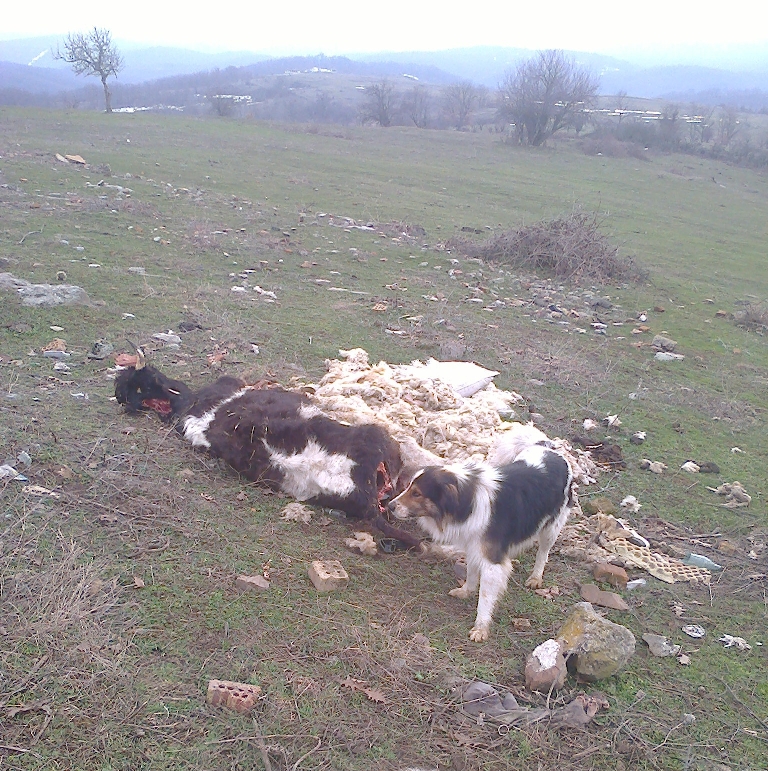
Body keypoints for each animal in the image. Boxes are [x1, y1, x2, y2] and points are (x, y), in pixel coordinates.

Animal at [390, 426, 576, 644]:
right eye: (409, 488)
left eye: (417, 493)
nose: (390, 506)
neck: (467, 502)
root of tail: (549, 448)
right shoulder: (473, 544)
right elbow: (471, 573)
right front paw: (466, 591)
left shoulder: (491, 562)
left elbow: (485, 598)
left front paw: (480, 627)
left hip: (552, 527)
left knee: (543, 553)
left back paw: (536, 577)